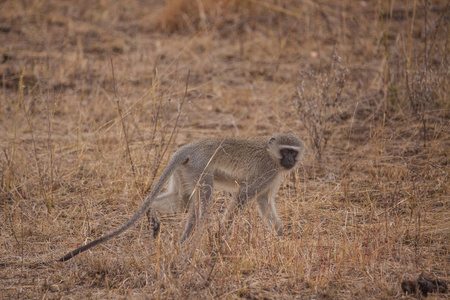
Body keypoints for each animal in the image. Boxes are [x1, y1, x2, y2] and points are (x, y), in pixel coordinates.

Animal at [59, 135, 304, 262]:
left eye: (293, 151)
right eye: (285, 151)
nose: (290, 161)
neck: (272, 157)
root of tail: (188, 148)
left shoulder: (273, 178)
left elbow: (264, 203)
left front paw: (283, 237)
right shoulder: (267, 172)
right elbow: (242, 195)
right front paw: (220, 237)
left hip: (185, 171)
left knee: (181, 202)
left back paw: (166, 226)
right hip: (200, 167)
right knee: (204, 203)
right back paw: (194, 246)